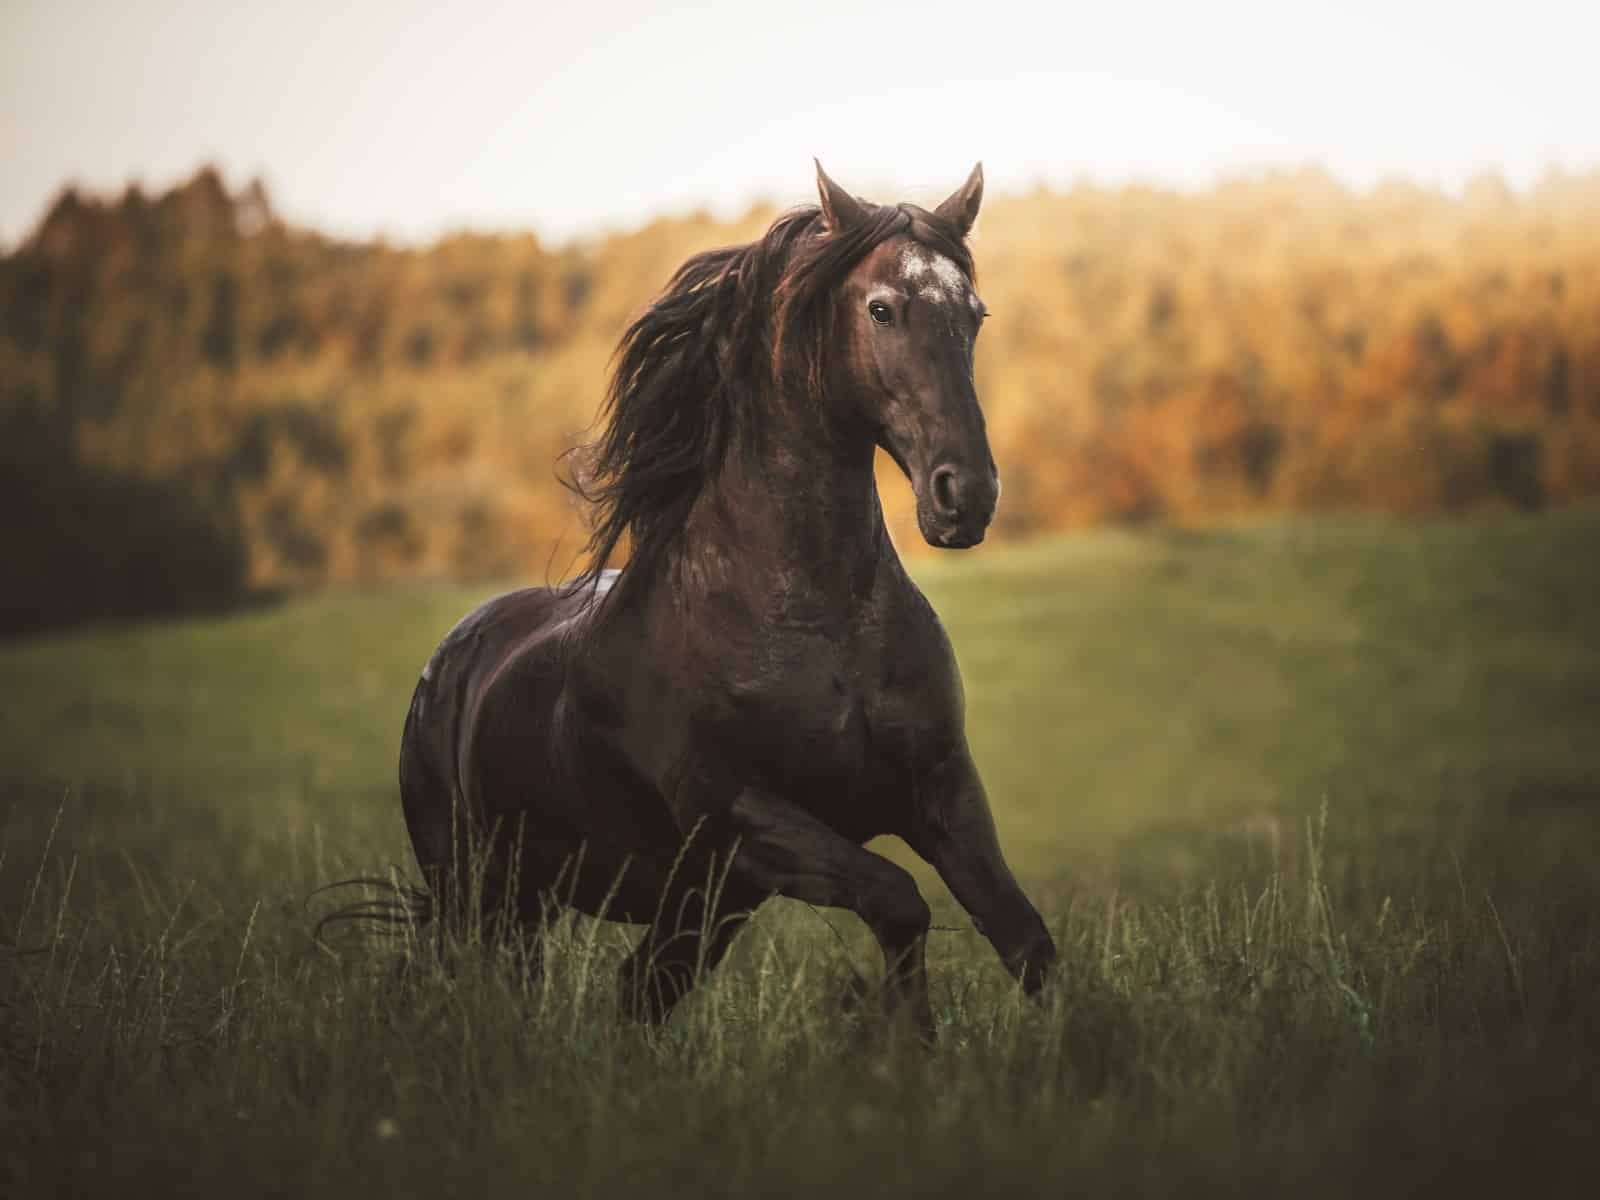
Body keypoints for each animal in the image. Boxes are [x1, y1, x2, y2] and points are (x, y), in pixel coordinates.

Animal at [398, 161, 1057, 1040]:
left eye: (973, 315)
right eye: (882, 308)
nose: (968, 496)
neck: (814, 622)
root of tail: (449, 662)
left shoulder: (941, 789)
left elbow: (1023, 937)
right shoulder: (742, 818)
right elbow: (900, 903)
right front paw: (908, 1052)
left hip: (692, 909)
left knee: (637, 992)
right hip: (484, 894)